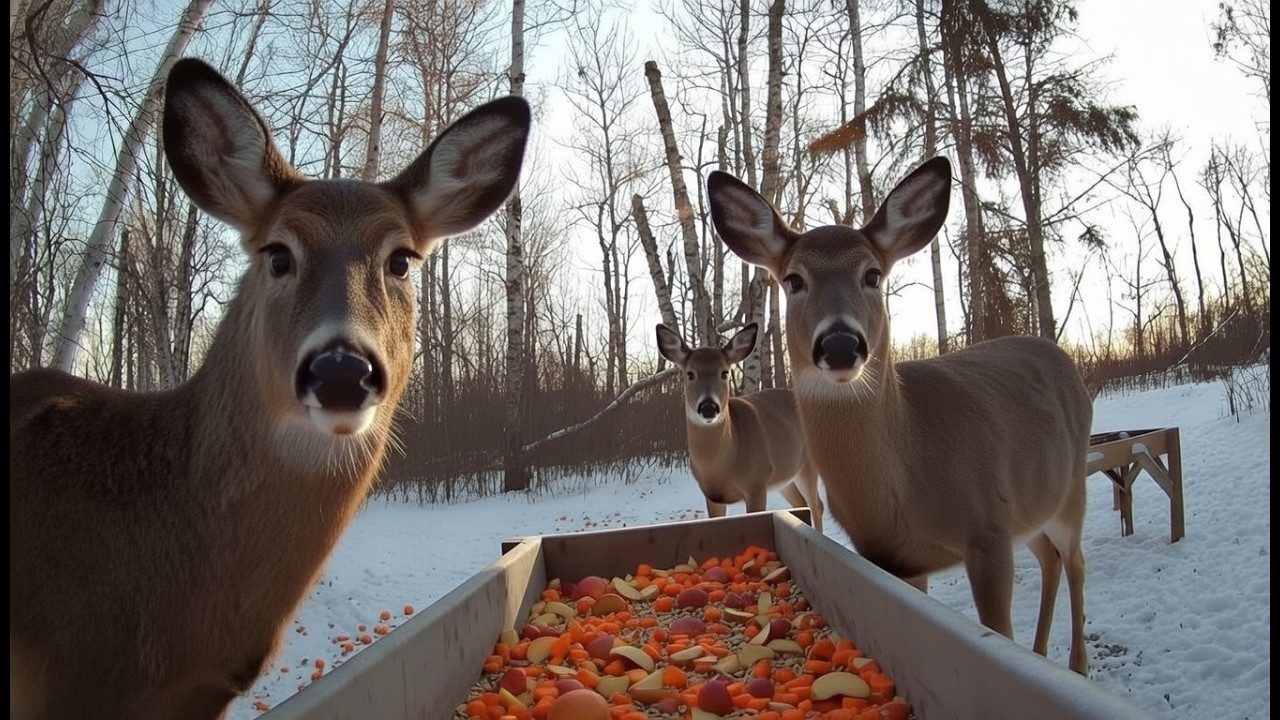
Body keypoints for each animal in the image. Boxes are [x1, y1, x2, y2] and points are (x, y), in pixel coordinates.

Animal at [656, 322, 824, 532]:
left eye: (724, 372)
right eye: (690, 374)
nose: (708, 407)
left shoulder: (756, 484)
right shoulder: (712, 495)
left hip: (807, 464)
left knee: (816, 505)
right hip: (783, 475)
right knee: (801, 503)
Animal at [706, 157, 1094, 675]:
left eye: (872, 275)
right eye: (793, 280)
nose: (840, 344)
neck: (905, 484)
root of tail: (1059, 353)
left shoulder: (988, 533)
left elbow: (999, 630)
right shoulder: (894, 559)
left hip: (1071, 490)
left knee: (1075, 562)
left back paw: (1076, 666)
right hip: (1033, 507)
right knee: (1051, 558)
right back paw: (1040, 652)